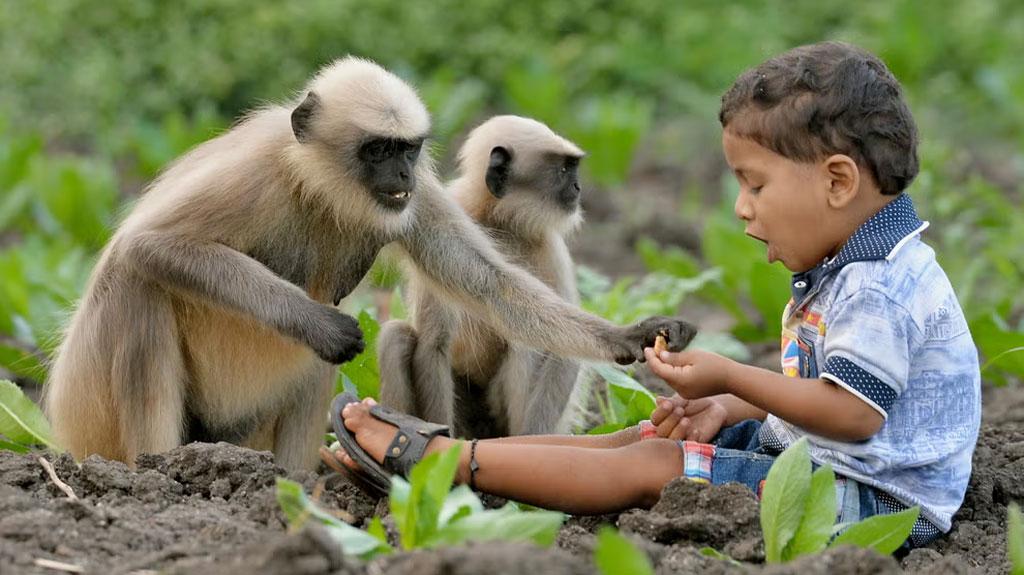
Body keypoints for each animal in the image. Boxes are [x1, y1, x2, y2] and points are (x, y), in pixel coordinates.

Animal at [376, 116, 598, 435]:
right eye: (565, 170)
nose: (578, 188)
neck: (497, 219)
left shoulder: (551, 247)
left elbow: (563, 347)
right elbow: (434, 342)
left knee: (528, 341)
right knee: (396, 335)